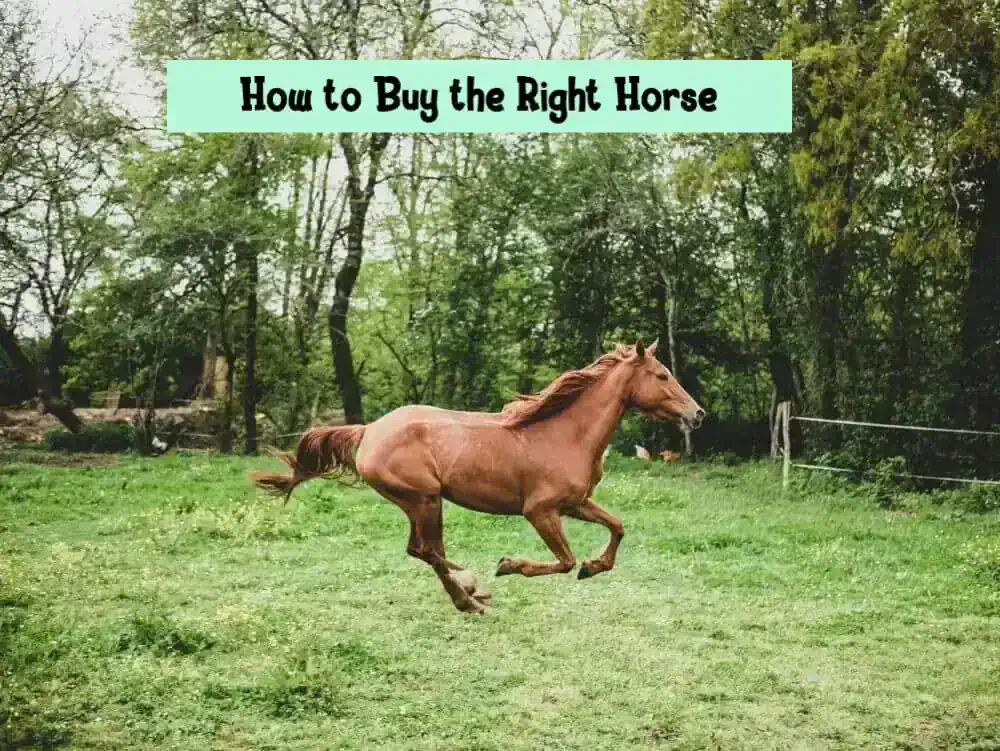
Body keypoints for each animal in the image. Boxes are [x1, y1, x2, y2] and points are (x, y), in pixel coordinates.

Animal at [250, 339, 704, 614]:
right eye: (662, 376)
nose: (697, 414)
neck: (564, 434)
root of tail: (369, 431)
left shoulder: (574, 504)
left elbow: (618, 526)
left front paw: (595, 566)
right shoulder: (540, 511)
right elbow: (564, 561)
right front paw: (509, 565)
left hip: (420, 504)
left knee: (424, 550)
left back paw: (469, 591)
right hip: (424, 499)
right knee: (426, 551)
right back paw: (470, 595)